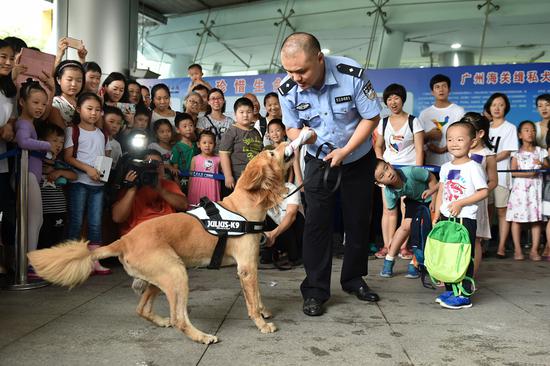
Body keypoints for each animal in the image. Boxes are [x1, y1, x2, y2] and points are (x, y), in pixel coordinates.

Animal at [27, 142, 294, 344]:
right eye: (272, 153)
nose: (285, 141)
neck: (243, 207)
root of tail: (124, 240)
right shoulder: (246, 268)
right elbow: (252, 300)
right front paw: (261, 323)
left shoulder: (251, 266)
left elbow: (257, 295)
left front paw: (264, 311)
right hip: (175, 272)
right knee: (179, 319)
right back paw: (201, 336)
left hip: (161, 275)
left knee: (142, 309)